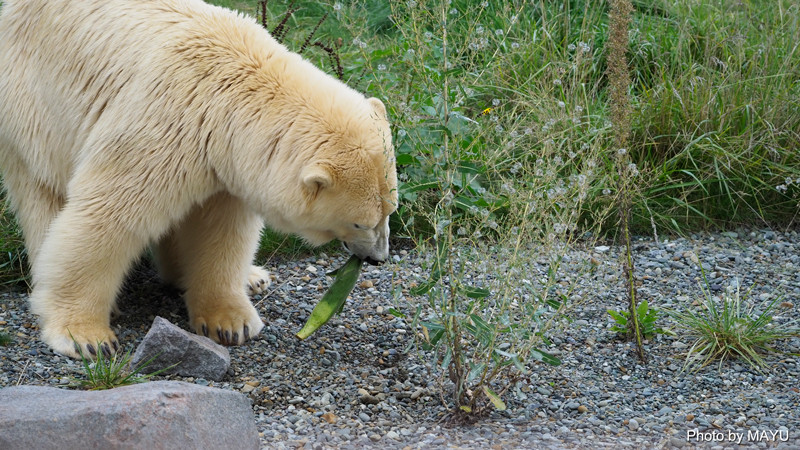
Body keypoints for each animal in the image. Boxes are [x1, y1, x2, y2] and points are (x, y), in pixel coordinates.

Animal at [0, 0, 398, 358]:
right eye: (360, 223)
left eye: (390, 210)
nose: (378, 258)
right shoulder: (167, 121)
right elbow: (109, 216)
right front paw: (85, 336)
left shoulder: (225, 158)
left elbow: (220, 230)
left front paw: (231, 323)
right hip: (35, 108)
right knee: (43, 194)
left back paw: (250, 276)